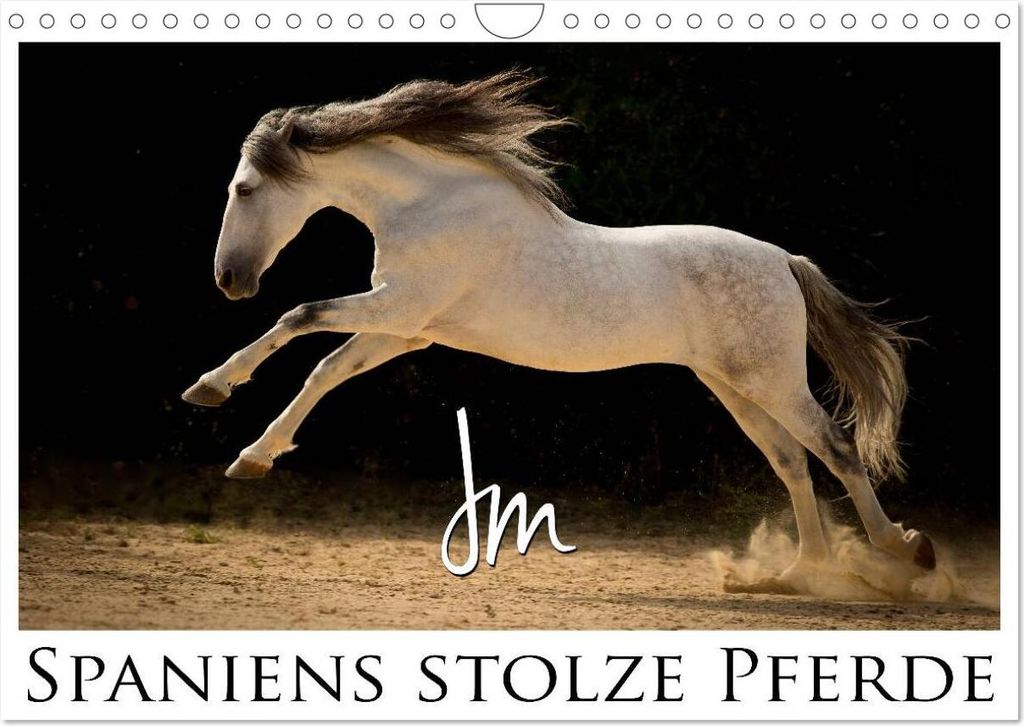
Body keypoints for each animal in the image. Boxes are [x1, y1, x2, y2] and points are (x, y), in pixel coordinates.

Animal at [182, 70, 936, 587]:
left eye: (244, 189)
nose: (229, 280)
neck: (433, 204)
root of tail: (784, 261)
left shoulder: (397, 309)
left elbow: (298, 317)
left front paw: (211, 390)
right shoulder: (406, 326)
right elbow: (324, 369)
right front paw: (252, 454)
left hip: (771, 380)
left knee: (835, 447)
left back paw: (904, 550)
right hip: (736, 386)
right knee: (791, 462)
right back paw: (798, 575)